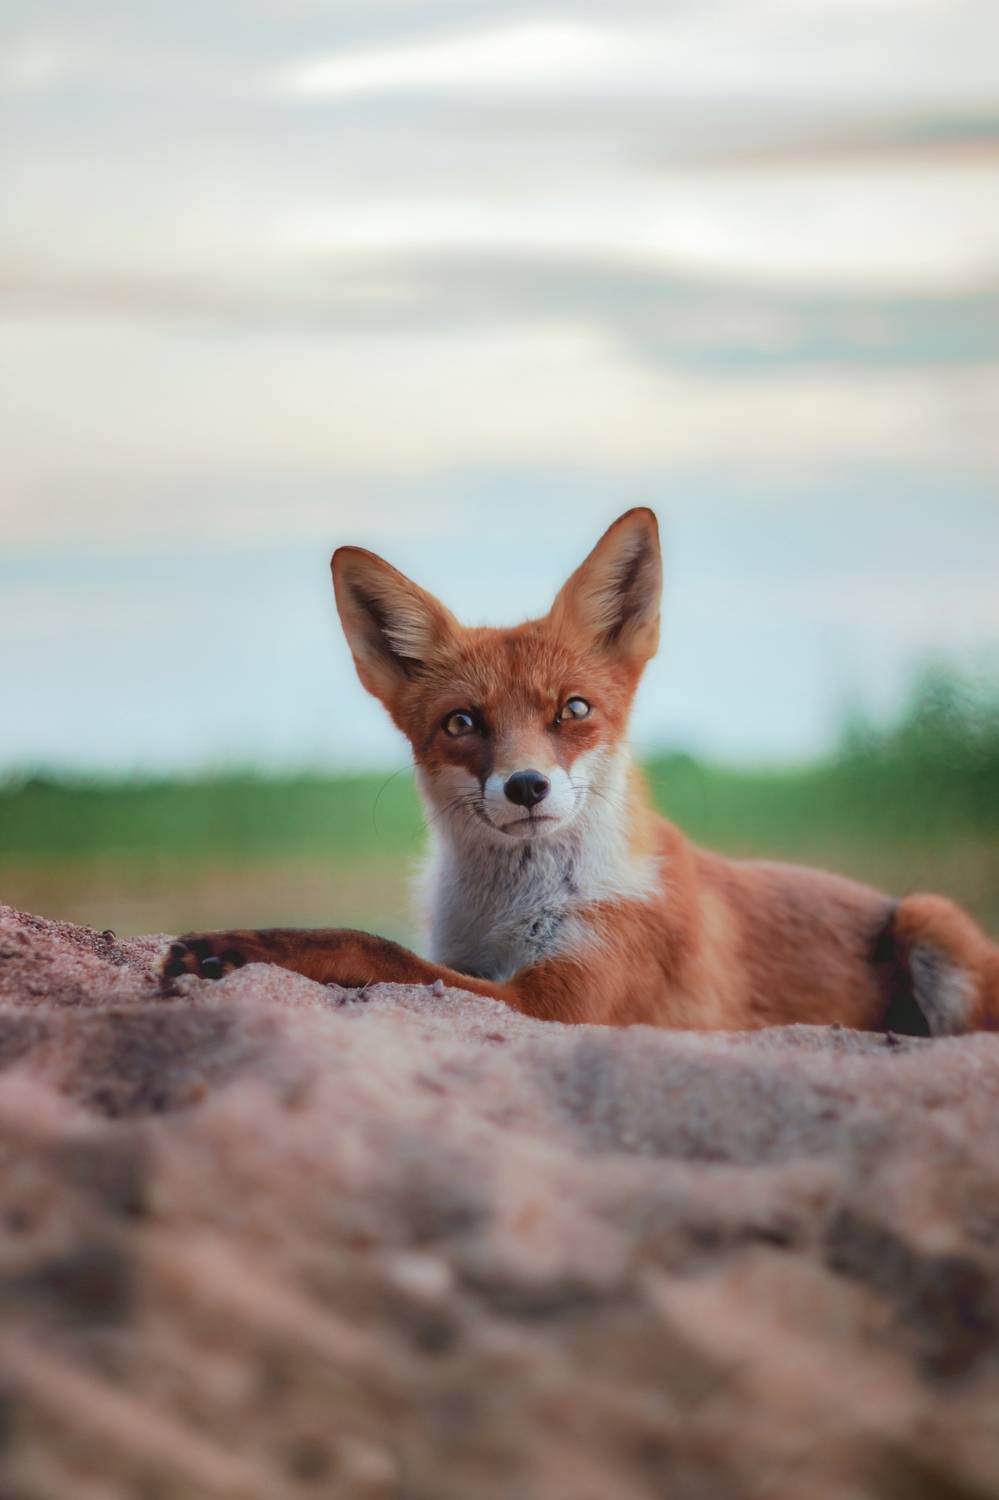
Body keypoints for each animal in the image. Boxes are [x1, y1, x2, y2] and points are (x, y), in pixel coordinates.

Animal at [163, 508, 999, 1035]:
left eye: (572, 709)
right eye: (461, 724)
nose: (526, 787)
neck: (502, 908)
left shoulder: (560, 1002)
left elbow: (374, 948)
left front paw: (248, 949)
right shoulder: (468, 963)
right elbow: (397, 954)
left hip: (932, 920)